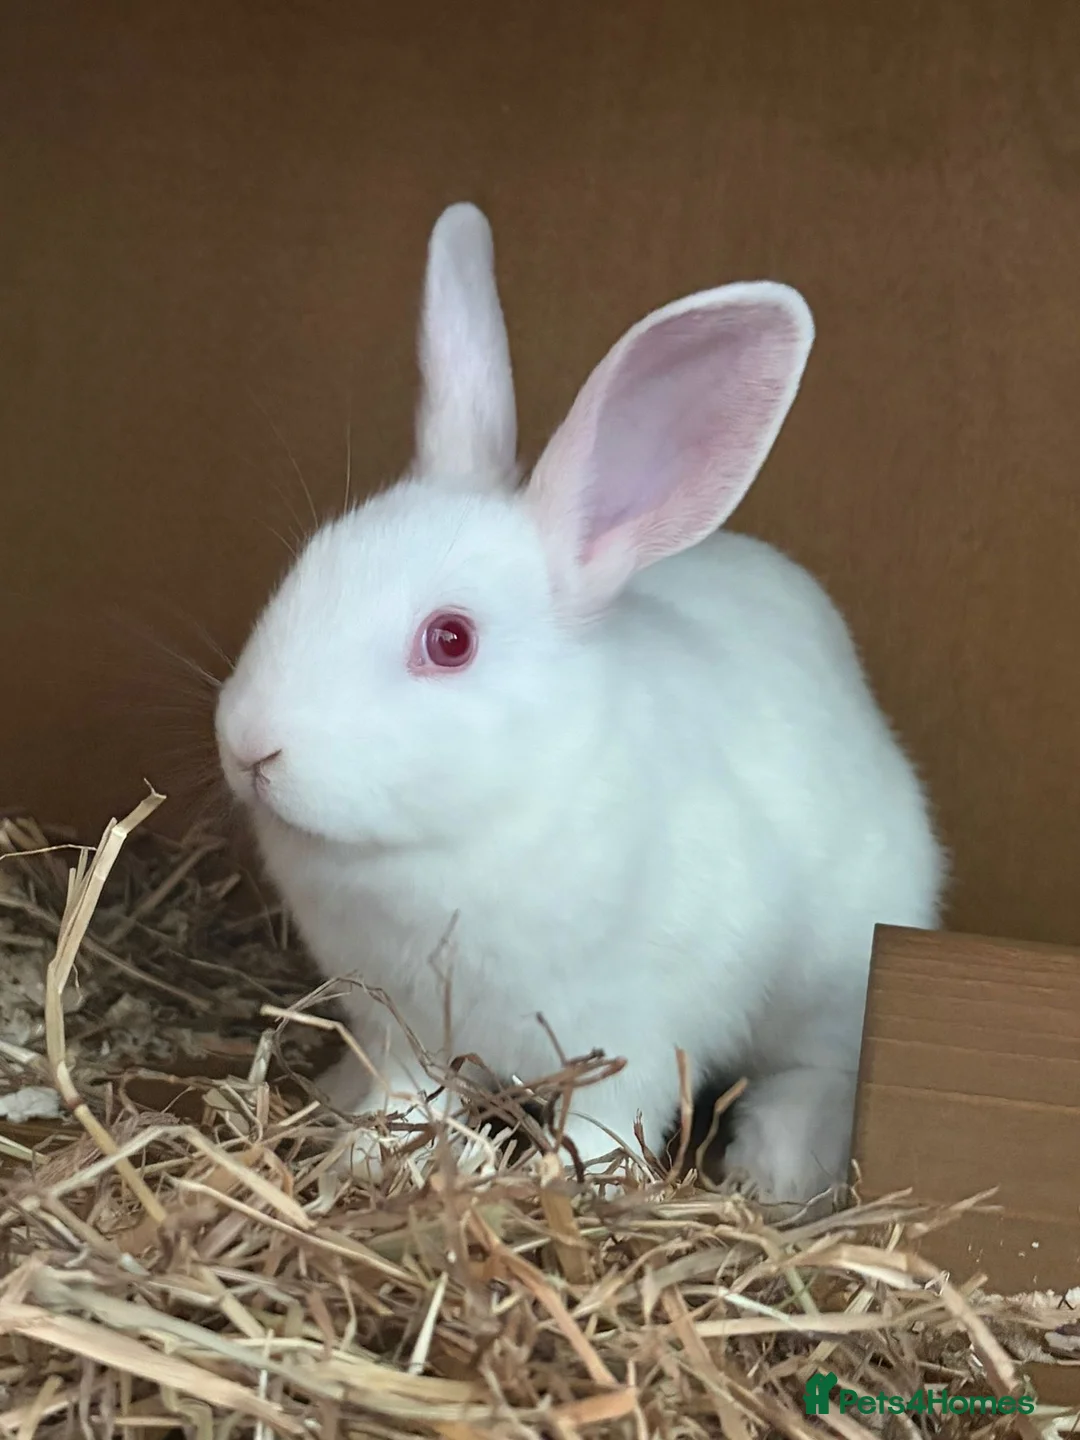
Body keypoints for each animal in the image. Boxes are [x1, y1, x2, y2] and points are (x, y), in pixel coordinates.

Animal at [215, 202, 945, 1208]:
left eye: (451, 640)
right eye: (305, 568)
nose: (250, 744)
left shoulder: (641, 1018)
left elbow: (611, 1114)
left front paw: (576, 1182)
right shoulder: (403, 1021)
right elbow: (409, 1090)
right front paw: (373, 1149)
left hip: (843, 972)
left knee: (820, 1068)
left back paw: (778, 1165)